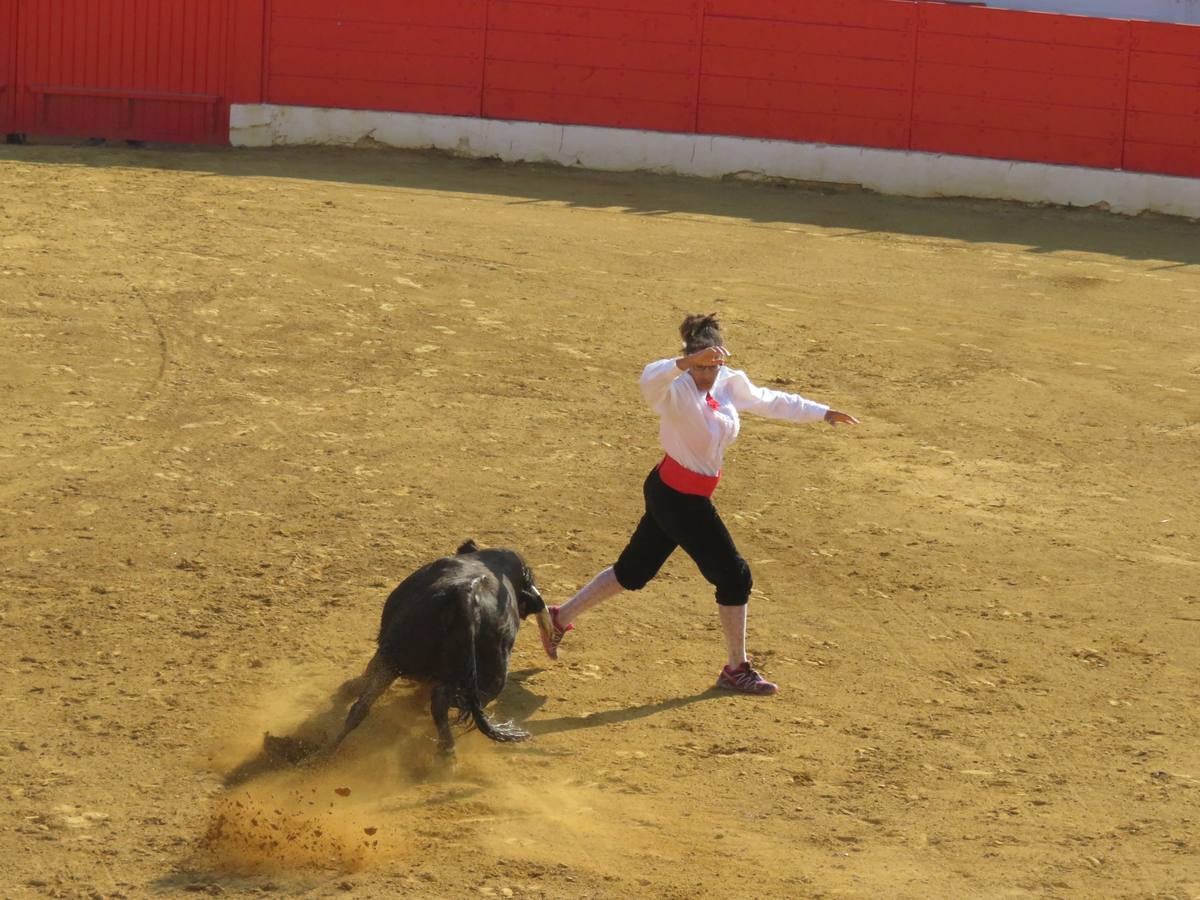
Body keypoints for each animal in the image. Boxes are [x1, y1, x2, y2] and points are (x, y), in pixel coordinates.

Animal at [328, 542, 552, 763]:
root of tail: (466, 595)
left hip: (396, 654)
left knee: (362, 707)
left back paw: (327, 751)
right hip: (492, 677)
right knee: (443, 702)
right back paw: (446, 752)